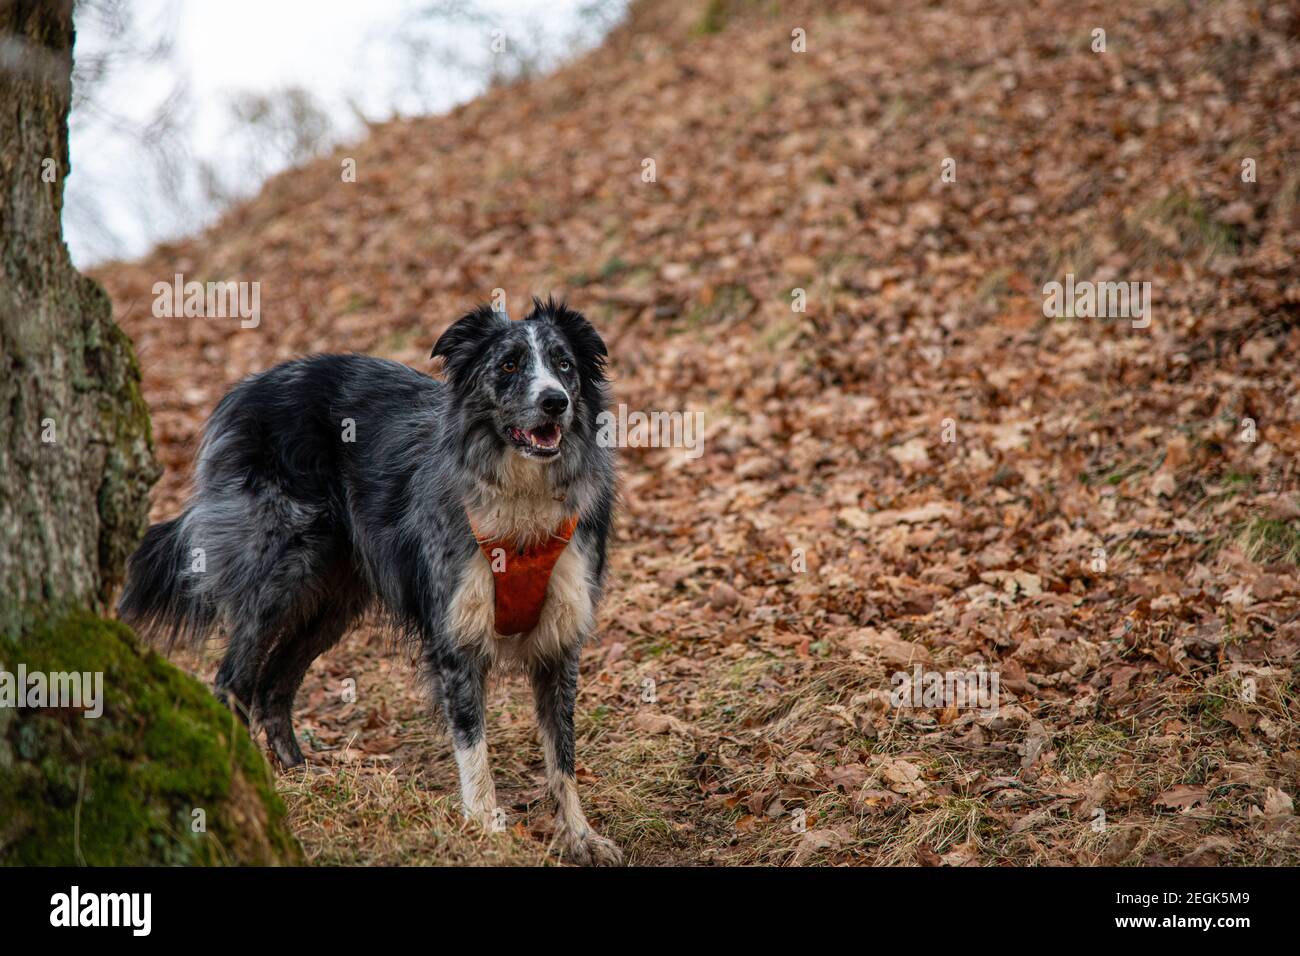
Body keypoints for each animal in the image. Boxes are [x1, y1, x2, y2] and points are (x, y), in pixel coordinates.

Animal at [122, 295, 624, 863]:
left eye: (564, 364)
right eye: (510, 365)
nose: (554, 402)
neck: (521, 502)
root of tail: (245, 388)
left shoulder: (561, 640)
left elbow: (563, 754)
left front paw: (580, 836)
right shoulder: (456, 637)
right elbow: (473, 745)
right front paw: (485, 830)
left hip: (333, 599)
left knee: (275, 684)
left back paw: (302, 774)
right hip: (277, 576)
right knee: (233, 680)